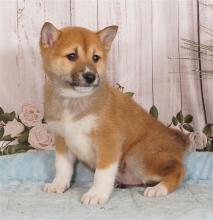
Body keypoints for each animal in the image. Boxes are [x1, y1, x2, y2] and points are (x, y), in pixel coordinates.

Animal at [39, 21, 189, 205]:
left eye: (95, 58)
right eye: (72, 56)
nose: (90, 76)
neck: (73, 100)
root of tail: (177, 142)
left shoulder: (108, 140)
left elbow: (102, 172)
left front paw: (96, 194)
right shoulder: (62, 140)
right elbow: (62, 167)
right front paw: (58, 184)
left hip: (136, 157)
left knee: (179, 169)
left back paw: (158, 189)